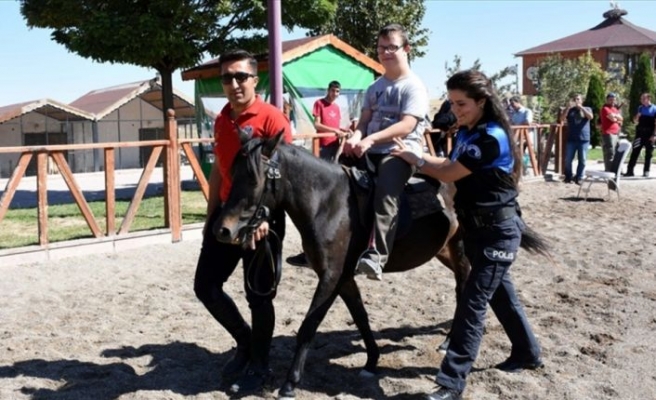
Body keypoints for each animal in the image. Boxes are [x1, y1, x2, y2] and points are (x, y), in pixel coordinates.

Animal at [215, 130, 548, 396]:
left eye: (253, 179)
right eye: (232, 173)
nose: (223, 230)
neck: (328, 204)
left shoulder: (331, 277)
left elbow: (309, 326)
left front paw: (290, 383)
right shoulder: (343, 277)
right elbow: (361, 317)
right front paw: (372, 360)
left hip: (462, 248)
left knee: (464, 287)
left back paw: (450, 340)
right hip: (444, 250)